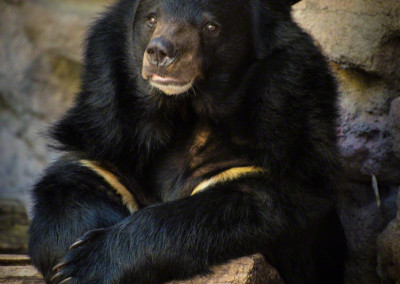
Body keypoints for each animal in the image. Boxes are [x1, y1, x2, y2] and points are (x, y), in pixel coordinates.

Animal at [28, 0, 346, 282]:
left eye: (211, 26)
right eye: (152, 19)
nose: (160, 52)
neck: (185, 111)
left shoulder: (284, 125)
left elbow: (240, 208)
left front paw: (85, 265)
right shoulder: (110, 129)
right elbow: (75, 186)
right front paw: (69, 258)